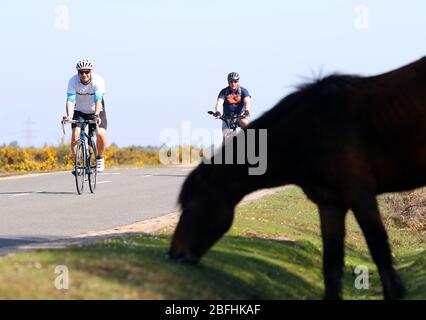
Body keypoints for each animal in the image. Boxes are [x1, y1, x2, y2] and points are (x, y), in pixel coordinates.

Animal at [167, 55, 426, 300]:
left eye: (191, 204)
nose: (173, 254)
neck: (308, 129)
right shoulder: (330, 203)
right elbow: (331, 265)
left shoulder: (359, 193)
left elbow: (379, 250)